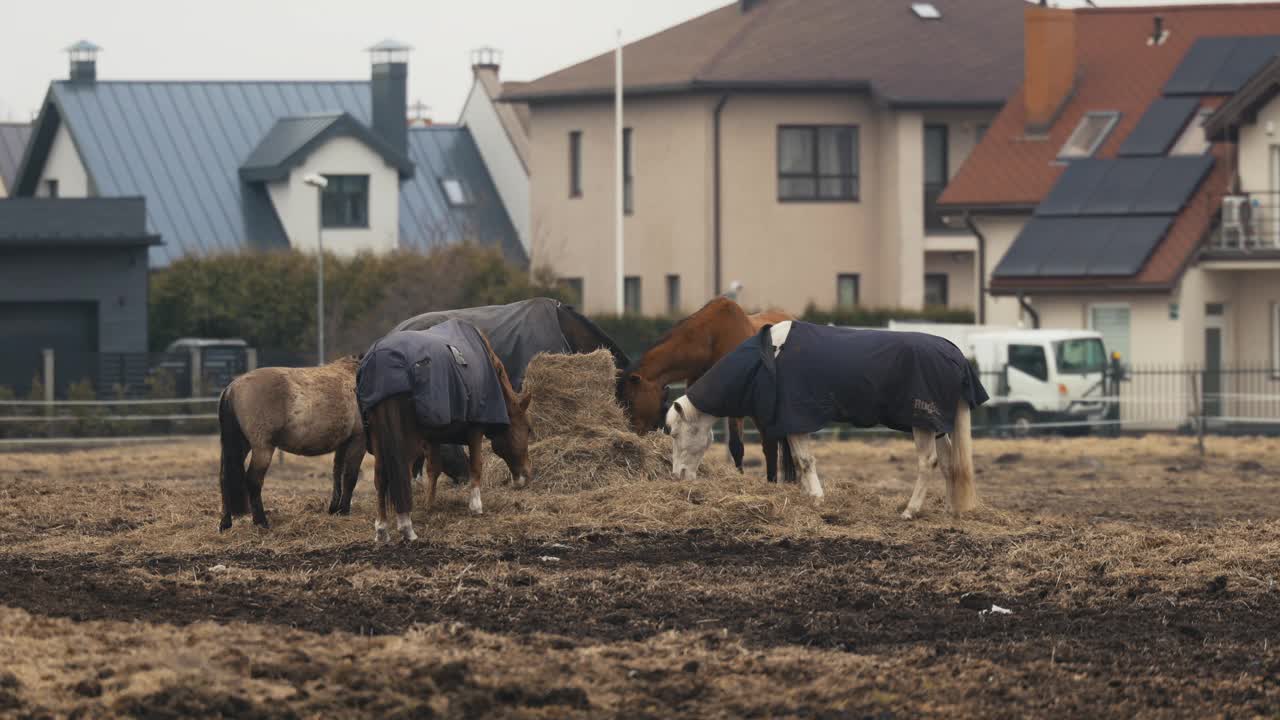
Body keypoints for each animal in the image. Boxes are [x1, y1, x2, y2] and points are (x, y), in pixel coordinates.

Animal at [217, 356, 363, 530]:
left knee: (225, 478)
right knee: (253, 481)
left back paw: (225, 523)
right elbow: (350, 476)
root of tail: (232, 388)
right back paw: (261, 522)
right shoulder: (358, 440)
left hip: (241, 445)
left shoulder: (343, 443)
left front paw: (335, 509)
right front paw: (344, 511)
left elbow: (337, 474)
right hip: (262, 449)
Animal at [363, 325, 532, 538]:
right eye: (528, 430)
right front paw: (476, 506)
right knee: (401, 473)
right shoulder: (475, 428)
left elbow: (433, 468)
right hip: (405, 441)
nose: (526, 475)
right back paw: (406, 526)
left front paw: (430, 505)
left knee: (380, 477)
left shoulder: (433, 437)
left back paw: (382, 528)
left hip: (379, 439)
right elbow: (476, 465)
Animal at [660, 319, 977, 515]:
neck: (768, 356)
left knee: (929, 462)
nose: (678, 476)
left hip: (922, 424)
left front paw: (816, 498)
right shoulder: (789, 423)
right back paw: (950, 509)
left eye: (674, 433)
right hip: (937, 427)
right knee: (949, 463)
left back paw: (910, 511)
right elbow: (797, 461)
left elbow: (803, 460)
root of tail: (956, 355)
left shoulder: (797, 420)